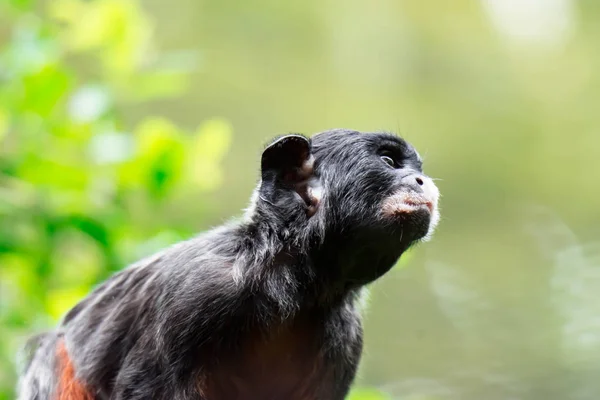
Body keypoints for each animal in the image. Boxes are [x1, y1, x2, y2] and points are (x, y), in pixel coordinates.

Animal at [17, 130, 440, 398]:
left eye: (415, 168)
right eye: (389, 161)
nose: (424, 181)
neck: (284, 288)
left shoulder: (345, 336)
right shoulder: (195, 292)